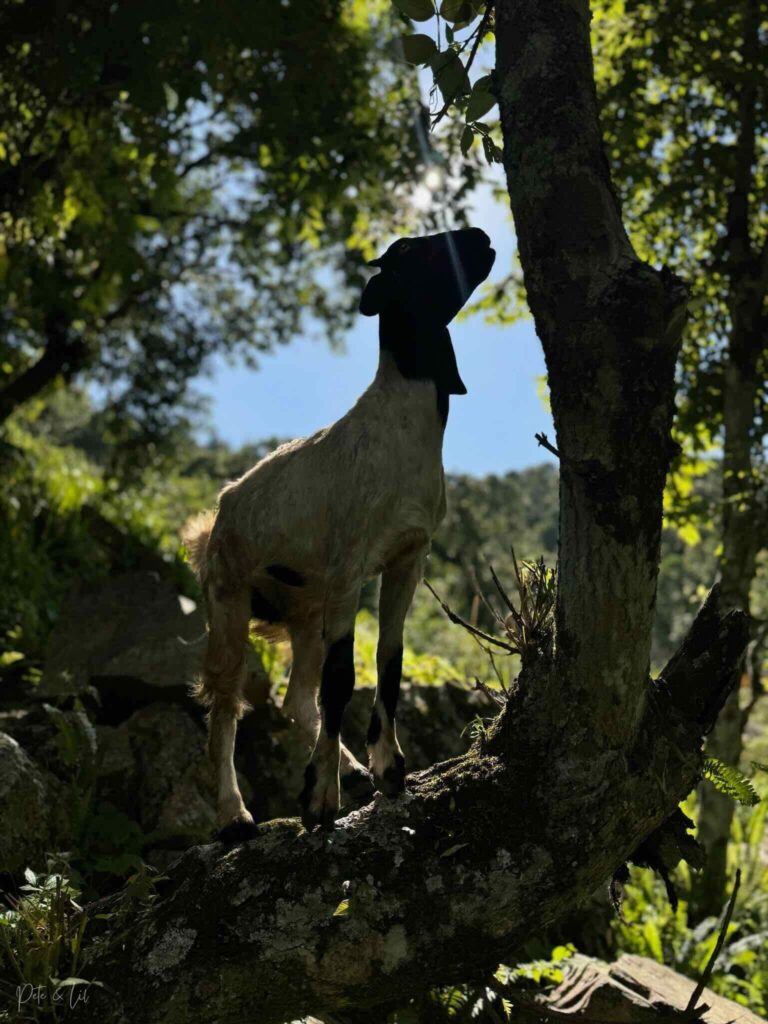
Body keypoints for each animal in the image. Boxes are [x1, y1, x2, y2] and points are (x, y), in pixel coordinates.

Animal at [182, 227, 495, 835]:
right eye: (411, 253)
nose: (482, 236)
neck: (402, 427)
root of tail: (215, 517)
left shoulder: (407, 557)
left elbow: (388, 663)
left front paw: (387, 770)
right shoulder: (352, 563)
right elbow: (344, 678)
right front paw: (321, 801)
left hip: (306, 607)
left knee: (296, 699)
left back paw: (348, 767)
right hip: (230, 596)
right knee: (226, 702)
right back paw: (235, 814)